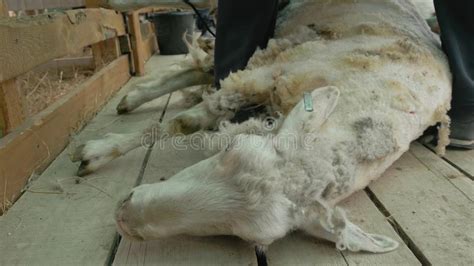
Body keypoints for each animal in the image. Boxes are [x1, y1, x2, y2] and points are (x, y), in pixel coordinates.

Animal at [71, 0, 452, 256]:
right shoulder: (270, 73)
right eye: (230, 150)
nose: (123, 216)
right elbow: (182, 122)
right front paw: (98, 151)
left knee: (197, 71)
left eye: (248, 238)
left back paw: (132, 98)